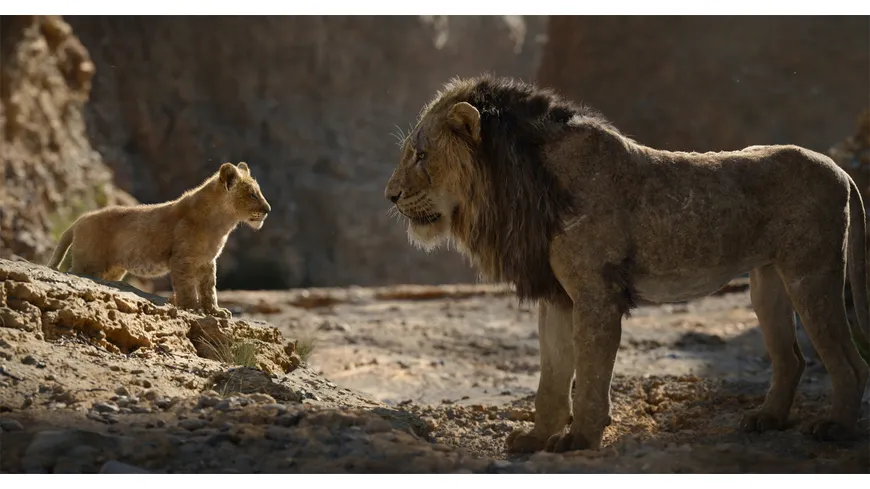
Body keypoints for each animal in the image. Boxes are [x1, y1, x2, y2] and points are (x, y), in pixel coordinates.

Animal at [47, 162, 271, 319]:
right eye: (252, 194)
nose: (268, 210)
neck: (222, 223)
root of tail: (79, 220)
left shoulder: (207, 261)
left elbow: (209, 288)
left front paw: (215, 311)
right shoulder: (182, 259)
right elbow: (187, 287)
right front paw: (193, 308)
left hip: (112, 270)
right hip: (88, 264)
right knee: (74, 272)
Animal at [384, 75, 869, 453]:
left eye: (421, 155)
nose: (390, 196)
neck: (519, 183)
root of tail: (840, 169)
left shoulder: (596, 294)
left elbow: (590, 372)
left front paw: (579, 439)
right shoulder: (557, 296)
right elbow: (551, 376)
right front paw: (536, 438)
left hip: (811, 273)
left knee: (849, 362)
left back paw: (836, 428)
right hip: (768, 283)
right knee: (792, 358)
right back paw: (765, 420)